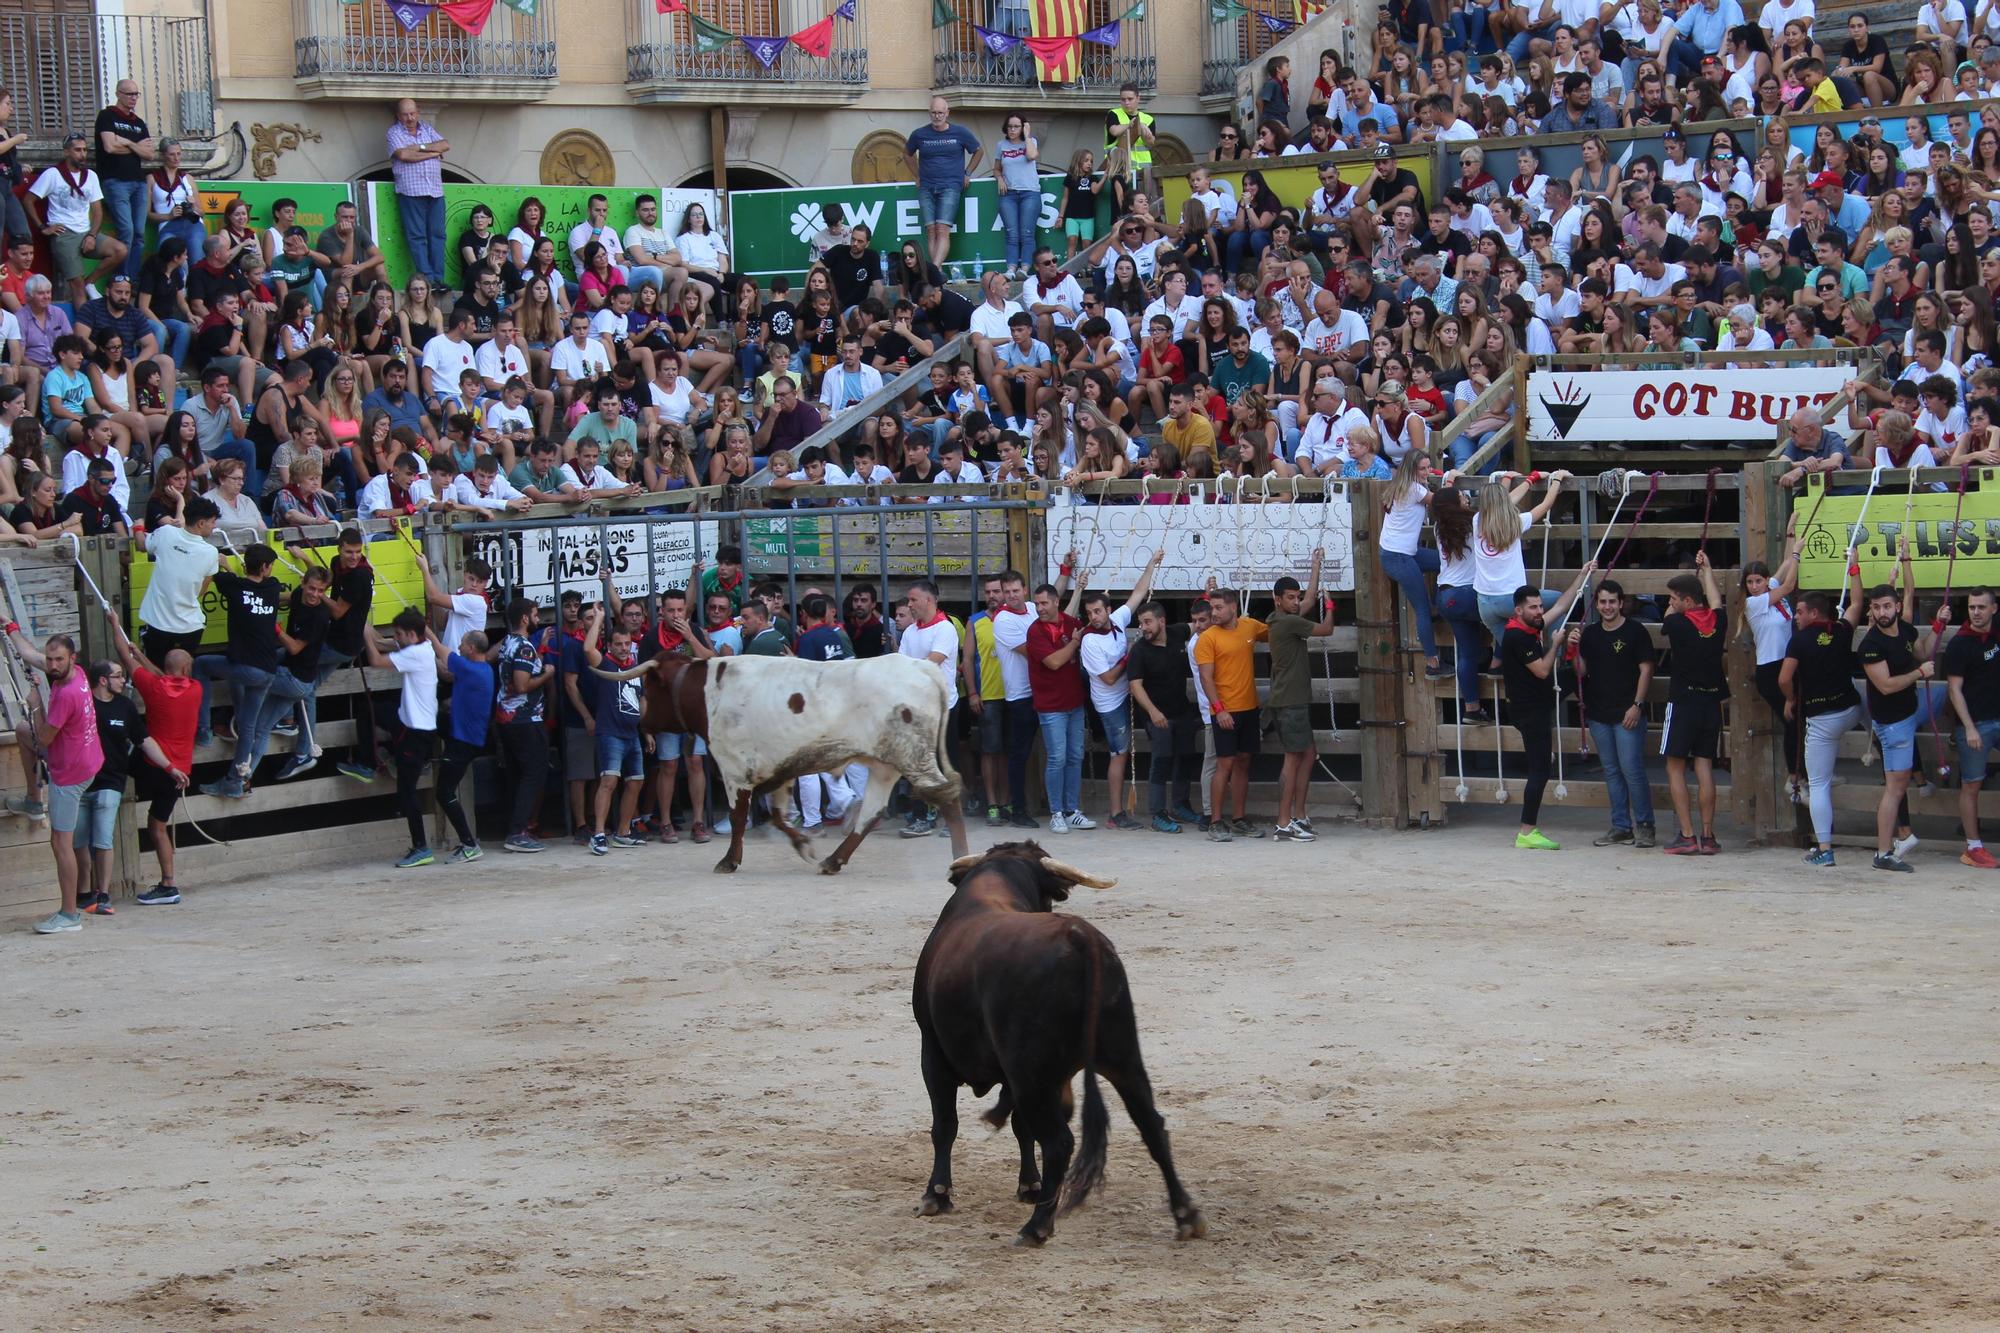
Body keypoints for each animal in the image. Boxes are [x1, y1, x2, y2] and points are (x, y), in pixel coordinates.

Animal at [608, 652, 976, 872]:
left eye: (647, 691)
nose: (642, 725)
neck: (709, 691)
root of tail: (923, 668)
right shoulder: (780, 769)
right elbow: (777, 814)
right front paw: (802, 844)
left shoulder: (734, 769)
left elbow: (739, 817)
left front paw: (729, 860)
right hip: (886, 765)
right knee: (870, 812)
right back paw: (833, 860)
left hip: (915, 757)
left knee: (947, 798)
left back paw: (960, 856)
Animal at [916, 840, 1208, 1248]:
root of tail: (1080, 936)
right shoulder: (1021, 1076)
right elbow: (1019, 1127)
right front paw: (1030, 1185)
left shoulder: (934, 1053)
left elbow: (945, 1124)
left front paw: (936, 1194)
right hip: (1122, 1057)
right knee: (1152, 1126)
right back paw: (1186, 1215)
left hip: (1033, 1074)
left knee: (1059, 1141)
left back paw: (1037, 1226)